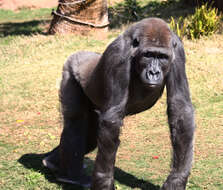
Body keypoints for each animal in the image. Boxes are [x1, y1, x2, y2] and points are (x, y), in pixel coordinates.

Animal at [42, 17, 195, 190]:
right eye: (148, 55)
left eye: (162, 57)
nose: (154, 72)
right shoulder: (118, 56)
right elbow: (112, 119)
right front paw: (104, 181)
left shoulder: (178, 52)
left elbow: (180, 108)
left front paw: (177, 180)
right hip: (69, 69)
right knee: (75, 123)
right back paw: (71, 176)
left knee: (90, 136)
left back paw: (52, 162)